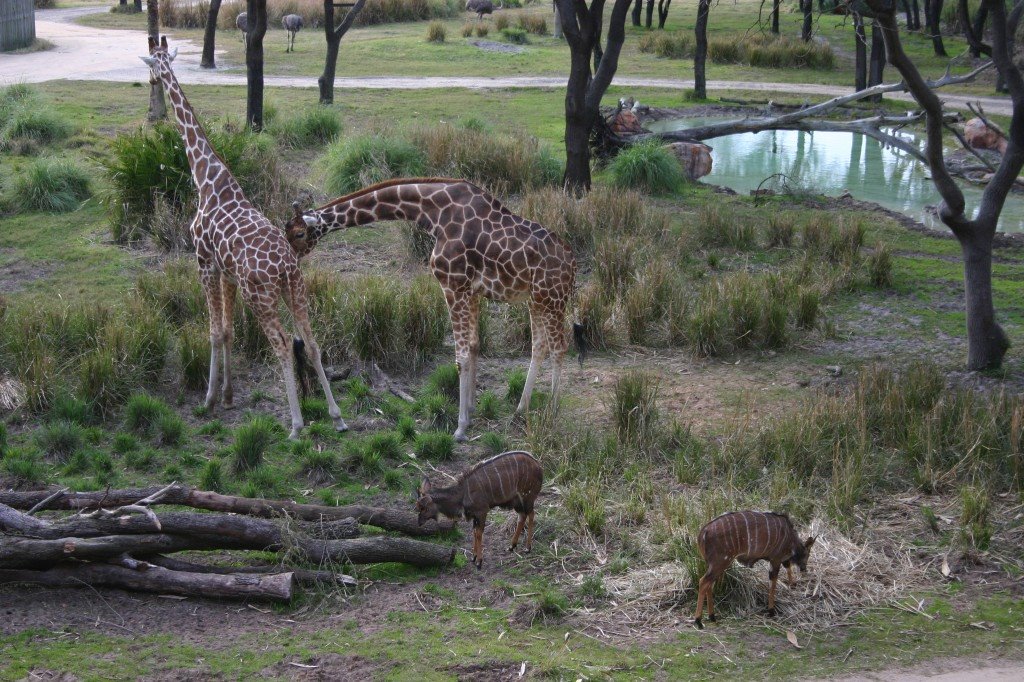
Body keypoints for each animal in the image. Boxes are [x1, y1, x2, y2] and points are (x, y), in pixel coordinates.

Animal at [140, 37, 348, 438]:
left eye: (154, 64)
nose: (152, 81)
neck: (206, 177)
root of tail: (284, 267)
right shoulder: (228, 272)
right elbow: (229, 331)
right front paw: (228, 396)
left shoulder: (204, 261)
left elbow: (213, 330)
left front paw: (208, 400)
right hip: (296, 289)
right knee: (311, 340)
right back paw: (336, 415)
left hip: (261, 297)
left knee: (282, 345)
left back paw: (296, 424)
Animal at [284, 175, 585, 440]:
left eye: (298, 233)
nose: (289, 260)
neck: (433, 213)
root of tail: (572, 265)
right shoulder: (471, 291)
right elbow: (474, 346)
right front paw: (471, 411)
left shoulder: (452, 285)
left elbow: (461, 355)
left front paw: (461, 428)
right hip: (537, 300)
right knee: (540, 346)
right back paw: (521, 409)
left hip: (552, 298)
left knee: (559, 347)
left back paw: (553, 411)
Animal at [415, 448, 544, 565]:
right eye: (418, 507)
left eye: (424, 507)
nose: (419, 523)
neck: (462, 494)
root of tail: (538, 465)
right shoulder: (474, 515)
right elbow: (474, 531)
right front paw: (473, 557)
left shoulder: (482, 511)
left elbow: (479, 533)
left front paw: (479, 561)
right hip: (517, 502)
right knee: (522, 517)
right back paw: (511, 546)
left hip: (527, 497)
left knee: (531, 514)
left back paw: (527, 548)